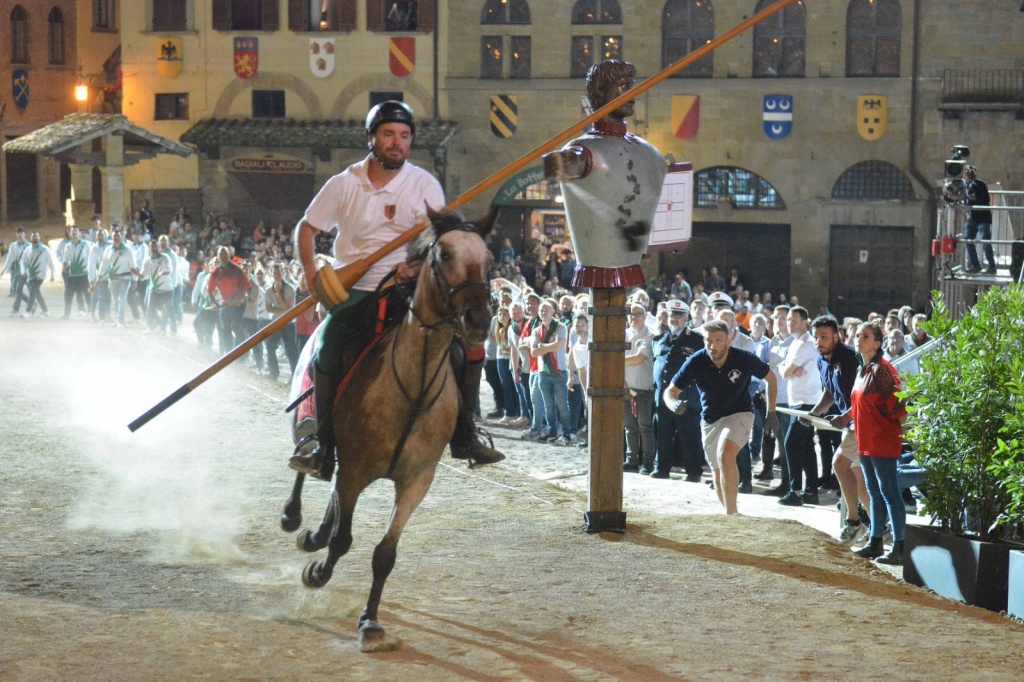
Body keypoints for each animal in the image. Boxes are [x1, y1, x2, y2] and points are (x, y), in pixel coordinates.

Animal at [282, 209, 493, 651]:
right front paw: (319, 573)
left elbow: (384, 554)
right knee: (310, 458)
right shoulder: (355, 471)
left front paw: (370, 622)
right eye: (443, 255)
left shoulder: (416, 481)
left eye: (489, 258)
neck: (412, 387)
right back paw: (295, 513)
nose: (479, 320)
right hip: (309, 422)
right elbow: (344, 539)